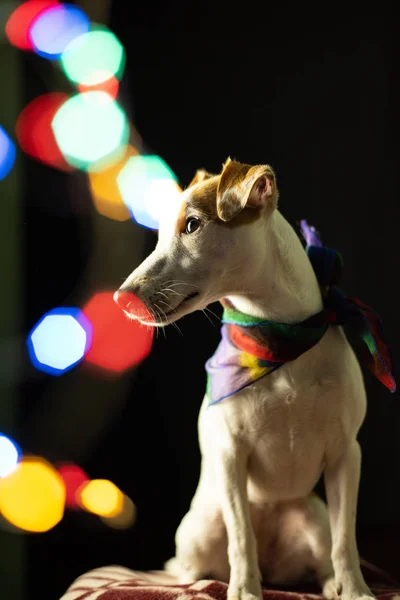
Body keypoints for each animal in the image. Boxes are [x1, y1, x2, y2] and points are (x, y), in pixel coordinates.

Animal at [115, 158, 394, 600]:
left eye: (191, 225)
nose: (121, 298)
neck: (275, 335)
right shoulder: (232, 454)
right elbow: (241, 537)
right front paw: (245, 591)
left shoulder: (346, 455)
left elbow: (345, 538)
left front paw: (355, 590)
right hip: (198, 533)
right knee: (195, 562)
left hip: (312, 516)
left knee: (322, 556)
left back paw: (331, 584)